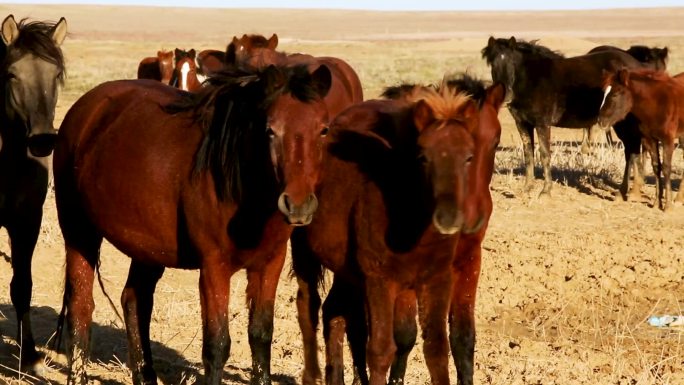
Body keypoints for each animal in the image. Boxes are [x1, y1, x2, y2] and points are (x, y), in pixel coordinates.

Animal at [53, 63, 332, 384]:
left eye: (323, 129)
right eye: (270, 130)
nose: (298, 205)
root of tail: (85, 109)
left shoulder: (269, 264)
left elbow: (261, 336)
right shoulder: (214, 268)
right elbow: (217, 343)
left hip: (147, 249)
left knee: (135, 301)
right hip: (78, 232)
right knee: (81, 307)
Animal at [480, 36, 648, 195]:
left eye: (512, 64)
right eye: (493, 65)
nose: (506, 96)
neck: (532, 80)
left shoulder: (542, 124)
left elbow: (544, 155)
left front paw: (545, 191)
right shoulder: (522, 123)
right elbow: (528, 154)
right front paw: (527, 188)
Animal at [596, 70, 684, 210]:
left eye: (615, 94)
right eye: (603, 93)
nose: (601, 121)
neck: (657, 105)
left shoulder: (667, 140)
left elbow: (666, 168)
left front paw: (668, 206)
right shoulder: (649, 139)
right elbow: (656, 167)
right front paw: (656, 203)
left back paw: (679, 199)